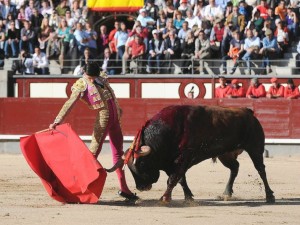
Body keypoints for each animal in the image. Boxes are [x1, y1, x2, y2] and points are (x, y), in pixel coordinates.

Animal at [106, 104, 276, 203]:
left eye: (141, 163)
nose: (141, 187)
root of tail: (248, 112)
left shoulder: (184, 157)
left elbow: (173, 178)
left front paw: (165, 198)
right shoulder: (171, 162)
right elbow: (180, 179)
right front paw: (188, 197)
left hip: (255, 148)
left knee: (261, 170)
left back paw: (270, 196)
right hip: (225, 154)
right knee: (235, 168)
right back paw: (227, 193)